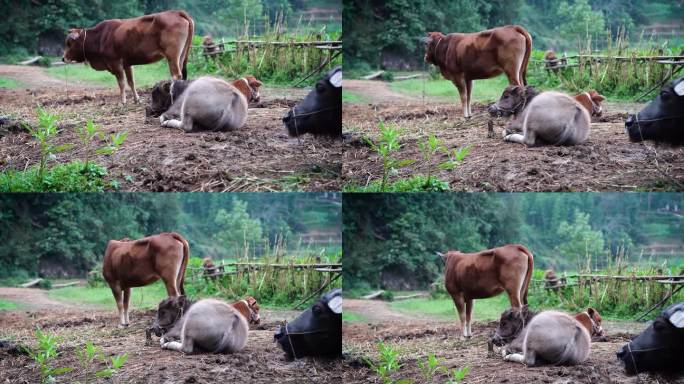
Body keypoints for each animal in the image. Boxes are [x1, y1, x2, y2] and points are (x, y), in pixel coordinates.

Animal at [62, 10, 194, 103]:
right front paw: (136, 99)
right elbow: (131, 82)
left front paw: (123, 101)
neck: (100, 37)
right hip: (181, 56)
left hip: (172, 55)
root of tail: (176, 12)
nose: (63, 58)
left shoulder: (116, 63)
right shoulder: (127, 64)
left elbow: (121, 83)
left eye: (69, 43)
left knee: (176, 75)